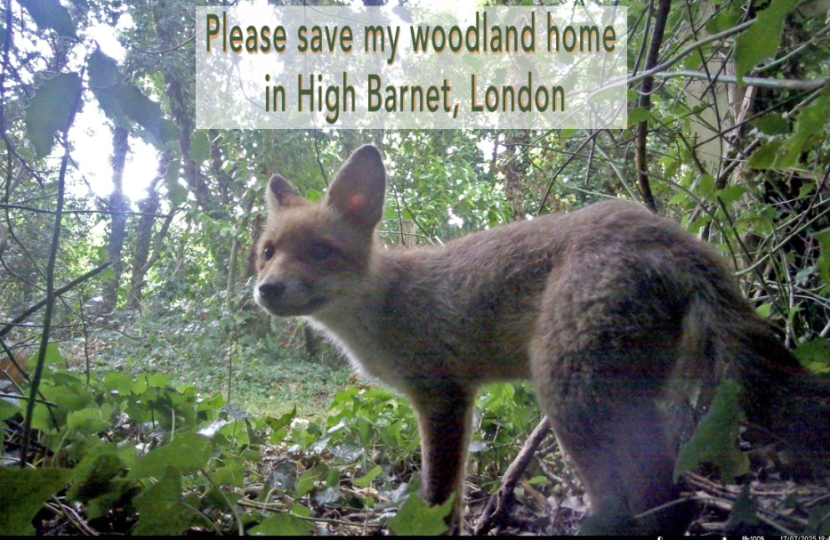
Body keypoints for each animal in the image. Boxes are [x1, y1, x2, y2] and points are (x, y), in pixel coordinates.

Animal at [254, 144, 830, 534]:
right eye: (268, 251)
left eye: (319, 249)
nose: (265, 289)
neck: (385, 303)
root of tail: (669, 234)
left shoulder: (442, 397)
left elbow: (440, 496)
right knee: (671, 494)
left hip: (569, 396)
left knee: (647, 499)